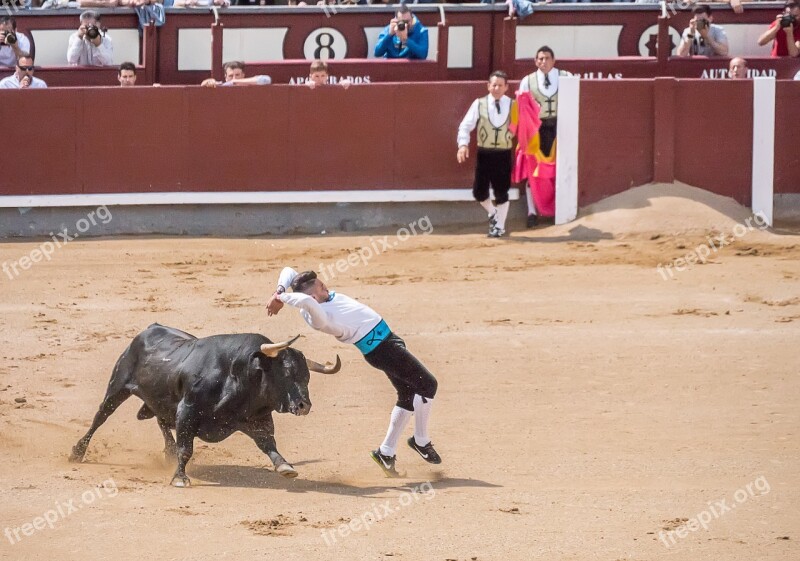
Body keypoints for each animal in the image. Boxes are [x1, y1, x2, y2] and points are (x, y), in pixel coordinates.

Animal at [69, 324, 340, 486]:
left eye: (306, 376)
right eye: (285, 373)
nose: (304, 405)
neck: (238, 374)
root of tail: (148, 330)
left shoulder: (257, 418)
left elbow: (268, 443)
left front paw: (285, 466)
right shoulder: (187, 411)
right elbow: (185, 449)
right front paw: (180, 478)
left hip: (161, 400)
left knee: (161, 419)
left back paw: (167, 453)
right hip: (117, 387)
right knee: (100, 417)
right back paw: (77, 452)